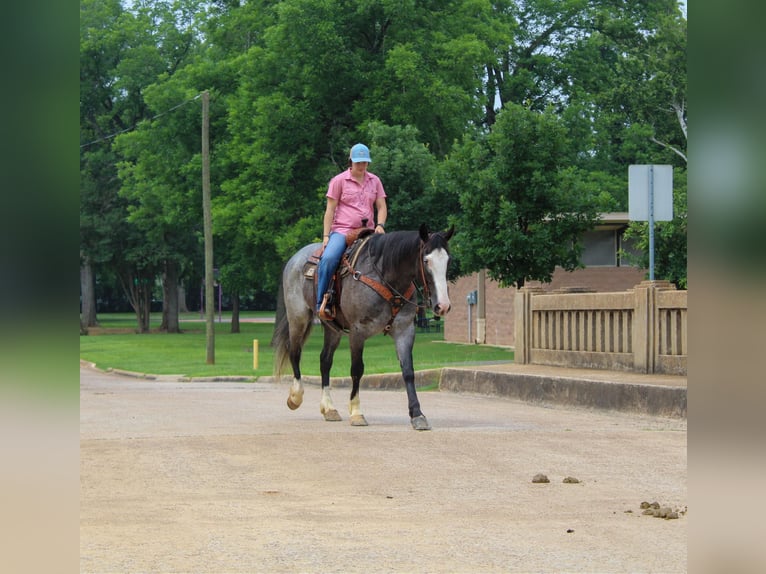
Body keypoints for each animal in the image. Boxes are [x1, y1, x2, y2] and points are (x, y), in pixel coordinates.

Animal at [274, 225, 456, 432]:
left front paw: (417, 414)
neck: (386, 278)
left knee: (325, 361)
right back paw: (295, 397)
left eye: (448, 260)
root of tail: (295, 259)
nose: (442, 305)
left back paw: (329, 408)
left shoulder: (404, 330)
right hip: (298, 317)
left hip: (332, 328)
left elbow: (408, 372)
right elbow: (357, 369)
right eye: (426, 260)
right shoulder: (358, 331)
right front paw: (356, 412)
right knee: (294, 352)